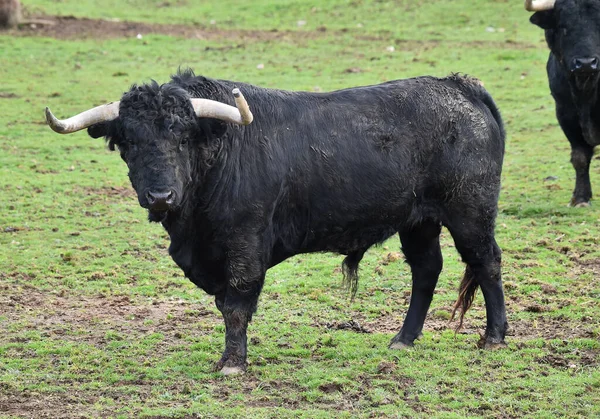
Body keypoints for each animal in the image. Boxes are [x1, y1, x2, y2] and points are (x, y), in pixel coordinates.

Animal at [45, 70, 506, 376]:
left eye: (183, 138)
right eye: (129, 142)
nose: (160, 197)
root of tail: (458, 86)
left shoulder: (246, 245)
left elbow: (236, 304)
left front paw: (232, 364)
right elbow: (225, 305)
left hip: (470, 211)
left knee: (486, 262)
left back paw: (494, 337)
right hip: (419, 221)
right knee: (427, 269)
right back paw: (403, 340)